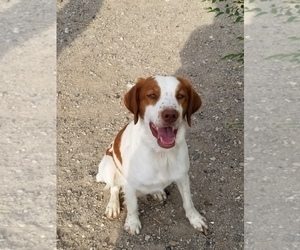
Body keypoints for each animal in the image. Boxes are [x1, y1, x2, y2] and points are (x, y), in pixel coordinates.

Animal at [96, 75, 209, 235]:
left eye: (180, 96)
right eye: (152, 95)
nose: (170, 115)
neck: (160, 153)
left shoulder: (183, 176)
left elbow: (188, 201)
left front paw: (195, 219)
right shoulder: (129, 184)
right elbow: (132, 206)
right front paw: (132, 222)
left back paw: (157, 192)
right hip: (108, 166)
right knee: (114, 187)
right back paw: (113, 205)